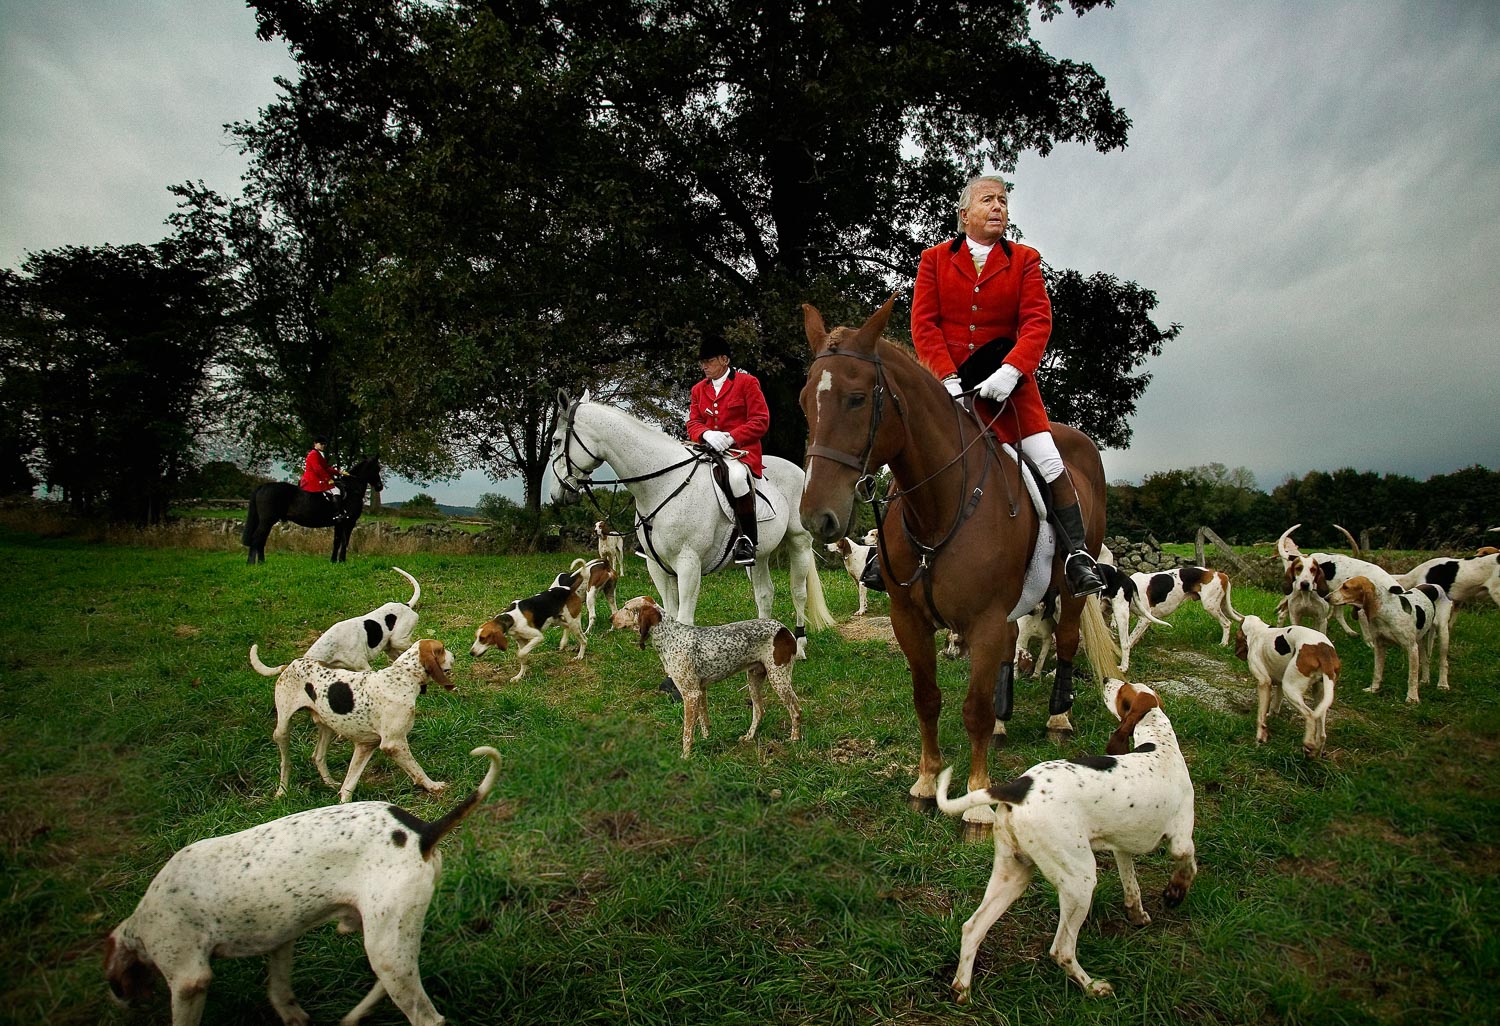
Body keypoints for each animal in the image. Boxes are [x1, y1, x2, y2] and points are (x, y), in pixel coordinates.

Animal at [237, 456, 384, 564]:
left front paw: (333, 561)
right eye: (377, 468)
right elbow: (344, 541)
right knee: (257, 538)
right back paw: (252, 563)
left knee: (261, 539)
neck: (352, 489)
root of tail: (263, 486)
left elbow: (336, 541)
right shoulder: (349, 522)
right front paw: (342, 561)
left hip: (268, 521)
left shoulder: (339, 523)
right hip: (267, 520)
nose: (379, 486)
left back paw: (261, 562)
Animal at [549, 390, 840, 654]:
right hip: (760, 553)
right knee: (764, 593)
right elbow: (669, 612)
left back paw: (799, 644)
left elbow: (683, 619)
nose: (556, 493)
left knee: (798, 592)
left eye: (555, 440)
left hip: (799, 543)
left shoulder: (688, 564)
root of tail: (797, 469)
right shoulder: (658, 565)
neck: (663, 483)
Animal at [798, 298, 1116, 828]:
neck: (942, 508)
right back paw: (1007, 722)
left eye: (857, 399)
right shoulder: (909, 619)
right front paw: (927, 782)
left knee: (1067, 640)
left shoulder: (984, 620)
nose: (816, 516)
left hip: (1069, 590)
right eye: (806, 400)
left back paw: (1058, 716)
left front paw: (978, 800)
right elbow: (927, 699)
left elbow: (974, 709)